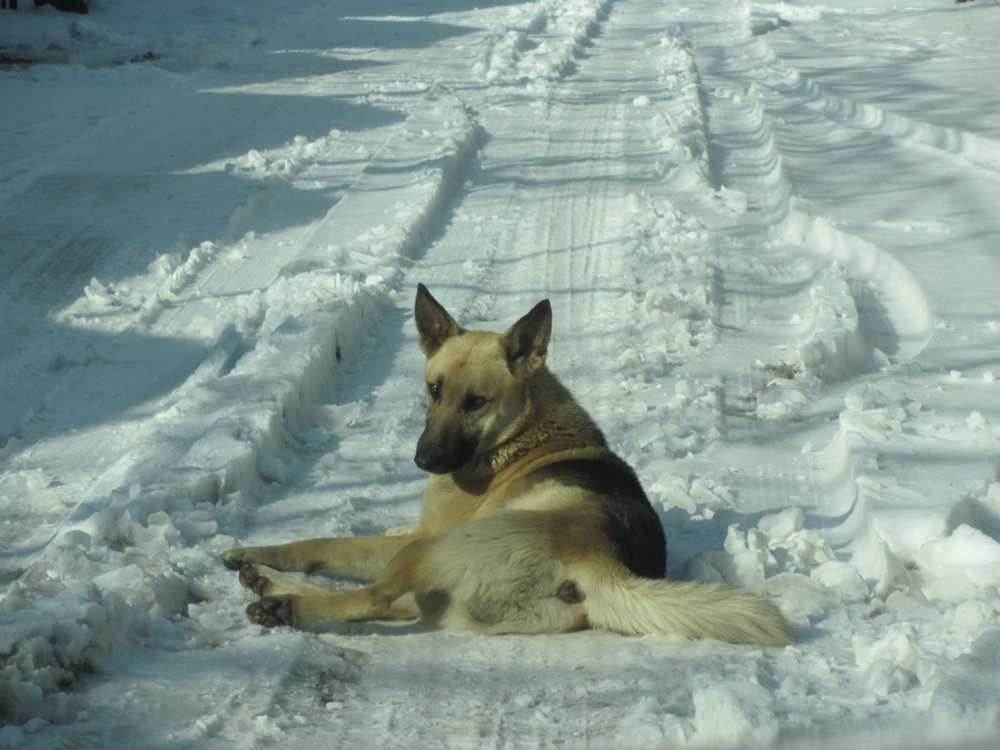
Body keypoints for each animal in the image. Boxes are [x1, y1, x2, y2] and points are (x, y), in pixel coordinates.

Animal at [221, 284, 796, 648]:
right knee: (389, 600)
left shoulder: (418, 536)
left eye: (475, 402)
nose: (423, 460)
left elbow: (323, 543)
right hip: (443, 592)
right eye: (434, 389)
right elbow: (371, 536)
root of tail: (603, 563)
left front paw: (258, 550)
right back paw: (267, 586)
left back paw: (281, 604)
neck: (515, 434)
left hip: (432, 552)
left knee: (373, 598)